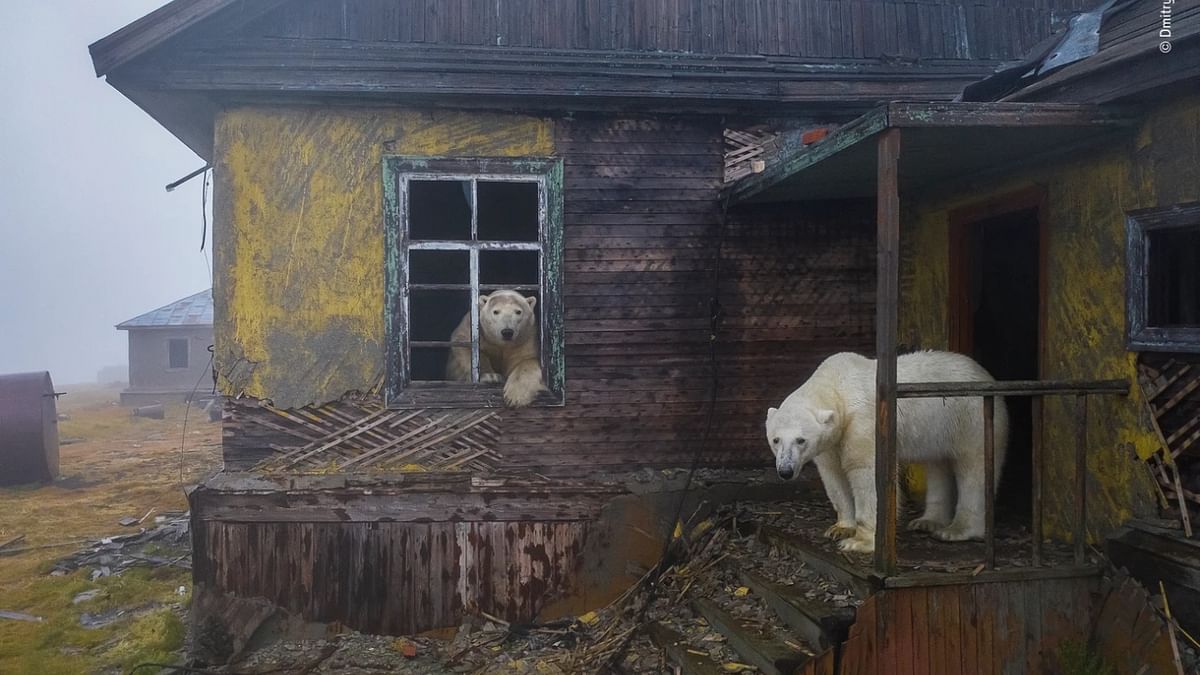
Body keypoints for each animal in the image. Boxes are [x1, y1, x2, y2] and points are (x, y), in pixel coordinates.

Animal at [763, 348, 1008, 550]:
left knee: (974, 467)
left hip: (971, 417)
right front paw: (840, 528)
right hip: (939, 429)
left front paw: (859, 541)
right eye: (776, 440)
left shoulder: (863, 422)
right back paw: (927, 521)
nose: (785, 471)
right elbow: (833, 476)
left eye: (801, 440)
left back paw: (956, 530)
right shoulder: (832, 441)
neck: (837, 386)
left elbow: (867, 473)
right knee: (937, 464)